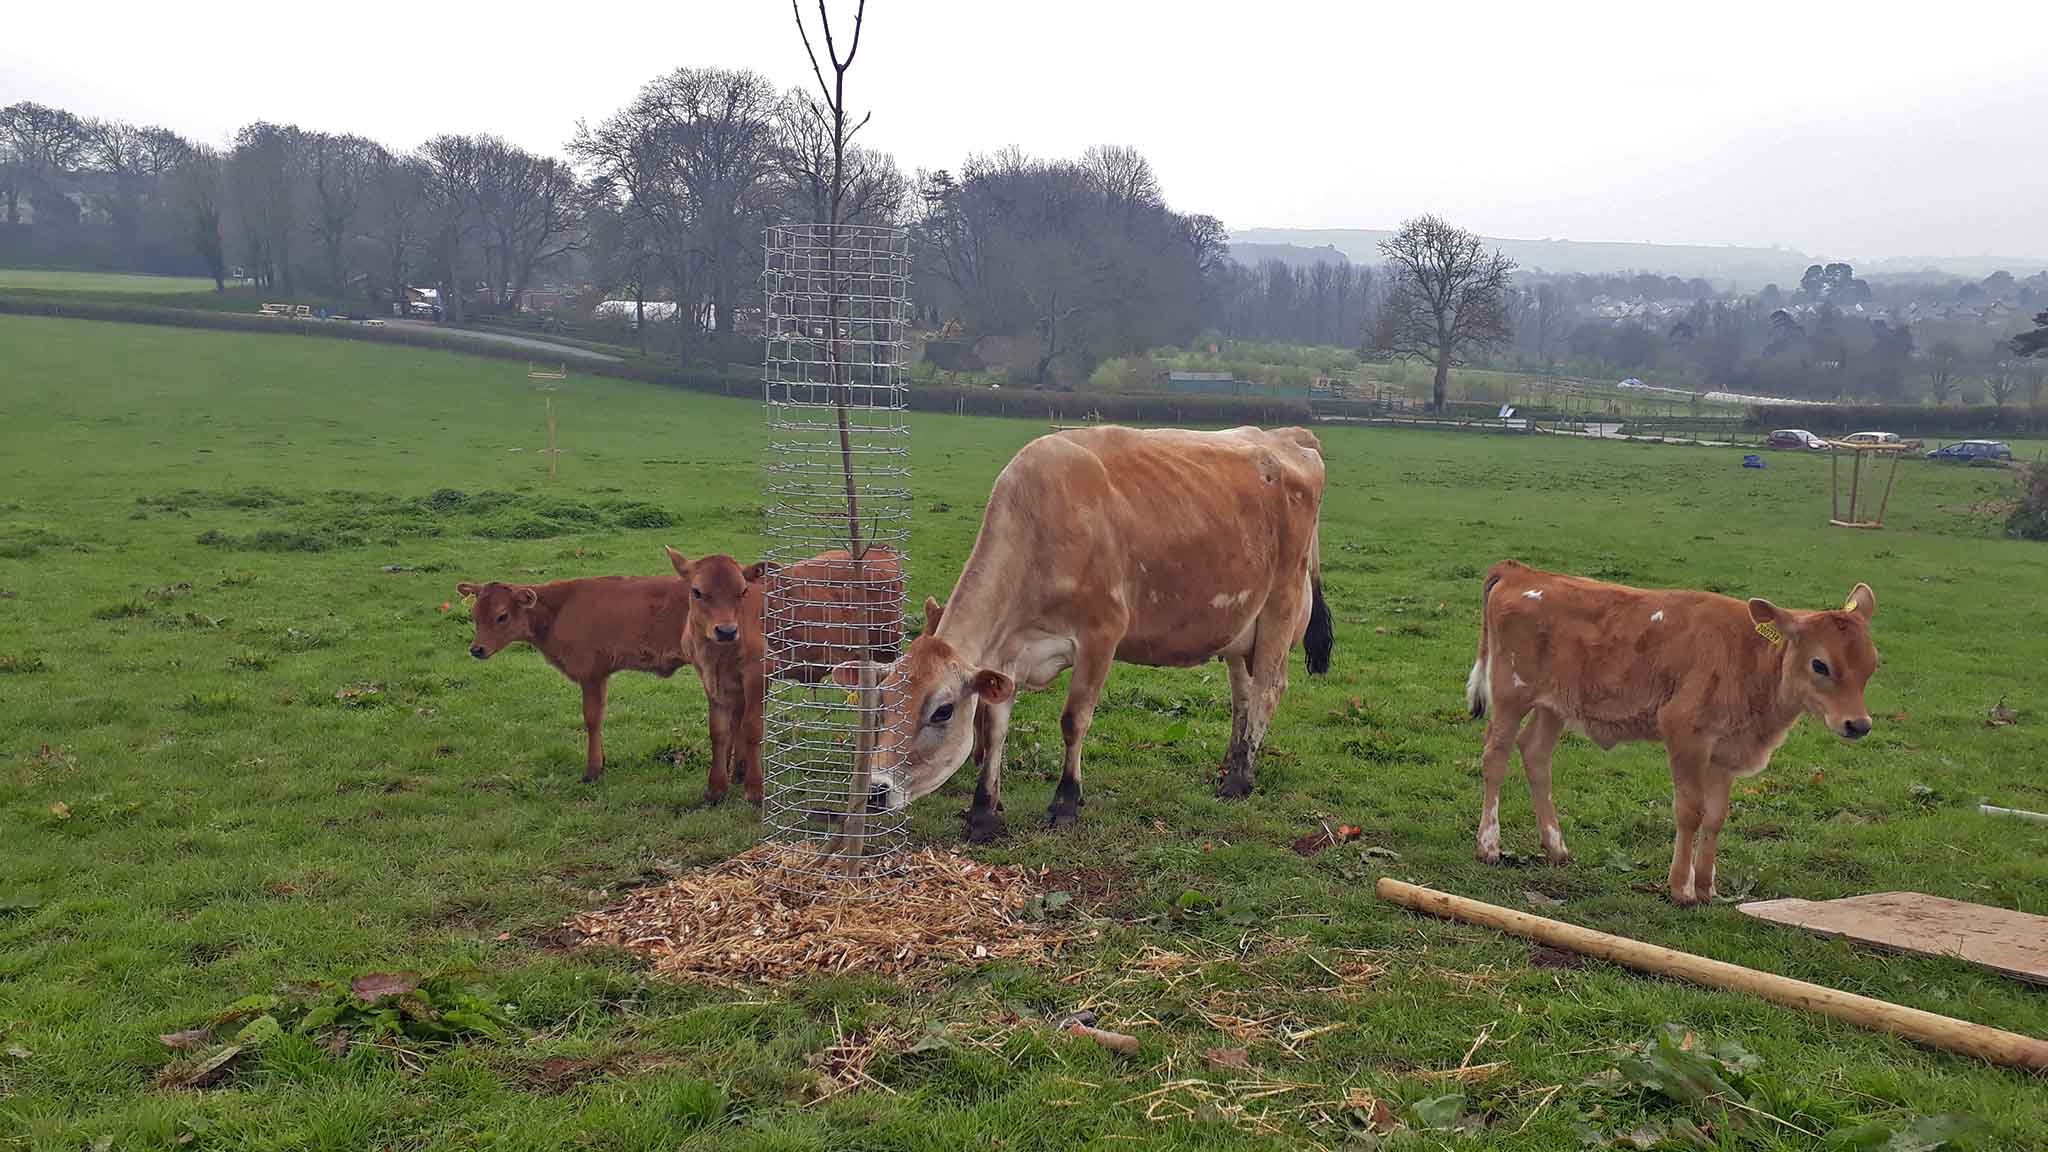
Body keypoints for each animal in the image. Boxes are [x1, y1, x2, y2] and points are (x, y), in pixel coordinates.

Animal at [460, 573, 692, 778]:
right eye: (474, 615)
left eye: (502, 616)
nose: (476, 649)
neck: (558, 611)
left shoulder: (591, 674)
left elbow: (592, 718)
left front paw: (593, 770)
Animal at [663, 545, 770, 799]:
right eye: (697, 591)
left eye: (743, 591)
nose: (726, 631)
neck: (719, 656)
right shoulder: (711, 678)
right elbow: (720, 730)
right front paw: (717, 787)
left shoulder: (758, 672)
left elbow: (753, 727)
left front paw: (755, 788)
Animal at [1466, 561, 1875, 901]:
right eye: (1820, 665)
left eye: (1872, 665)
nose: (1859, 724)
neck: (1748, 656)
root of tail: (1522, 571)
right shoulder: (1685, 734)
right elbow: (1690, 811)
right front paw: (1682, 887)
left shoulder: (1725, 753)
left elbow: (1716, 817)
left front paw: (1707, 887)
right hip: (1511, 693)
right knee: (1495, 757)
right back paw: (1488, 844)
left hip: (1554, 706)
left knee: (1535, 754)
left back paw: (1555, 847)